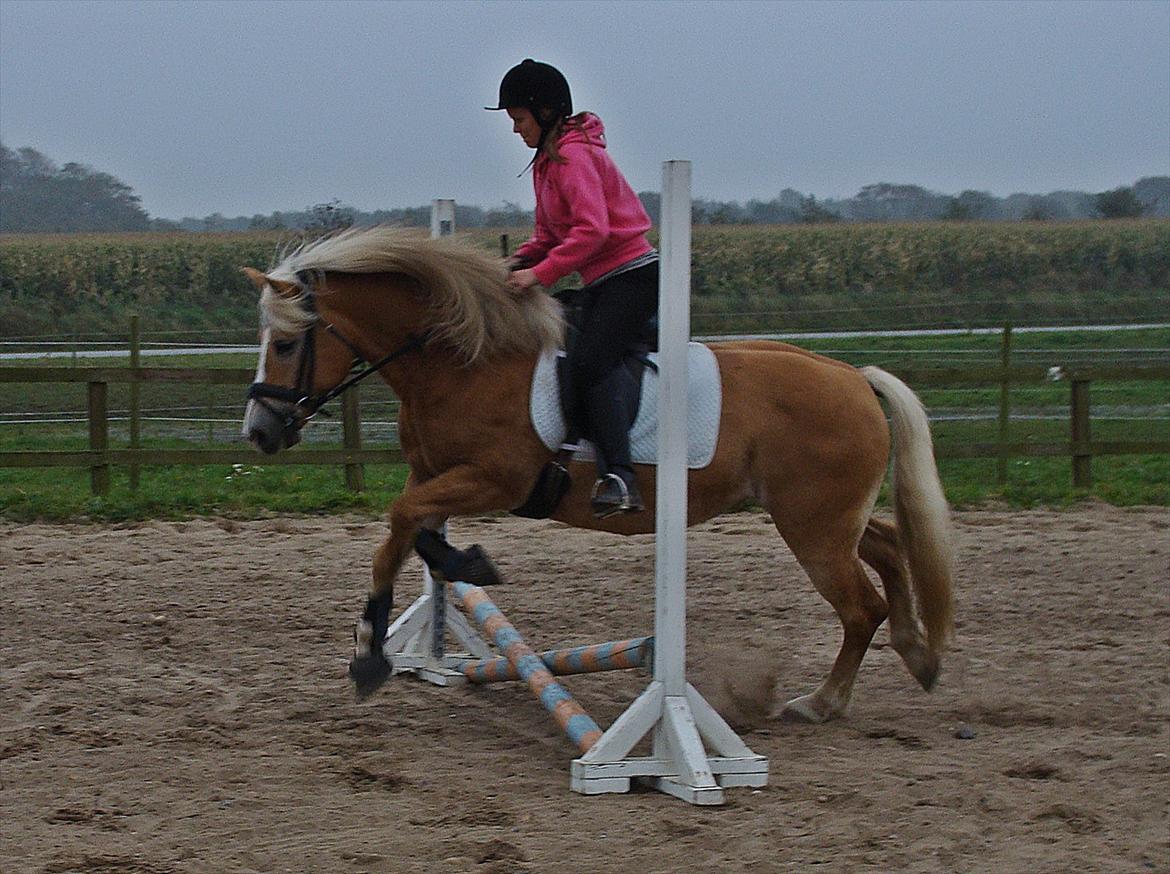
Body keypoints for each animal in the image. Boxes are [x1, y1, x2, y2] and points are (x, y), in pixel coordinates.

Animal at [237, 226, 950, 725]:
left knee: (861, 608)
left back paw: (823, 702)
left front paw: (417, 610)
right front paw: (375, 649)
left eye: (287, 344)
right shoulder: (434, 474)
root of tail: (854, 375)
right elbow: (404, 537)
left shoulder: (496, 478)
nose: (260, 432)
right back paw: (921, 653)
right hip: (822, 517)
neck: (462, 359)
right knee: (890, 546)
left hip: (813, 527)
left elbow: (403, 521)